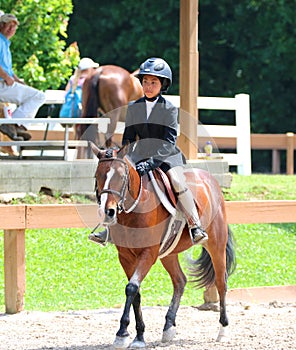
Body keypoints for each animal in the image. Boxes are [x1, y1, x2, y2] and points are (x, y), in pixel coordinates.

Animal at [90, 142, 236, 348]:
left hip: (216, 245)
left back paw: (223, 330)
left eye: (121, 176)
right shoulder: (125, 256)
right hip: (169, 253)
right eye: (98, 176)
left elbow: (132, 288)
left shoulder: (148, 254)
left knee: (221, 282)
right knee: (180, 281)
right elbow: (135, 292)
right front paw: (138, 335)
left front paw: (122, 333)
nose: (108, 212)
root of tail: (210, 180)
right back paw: (168, 327)